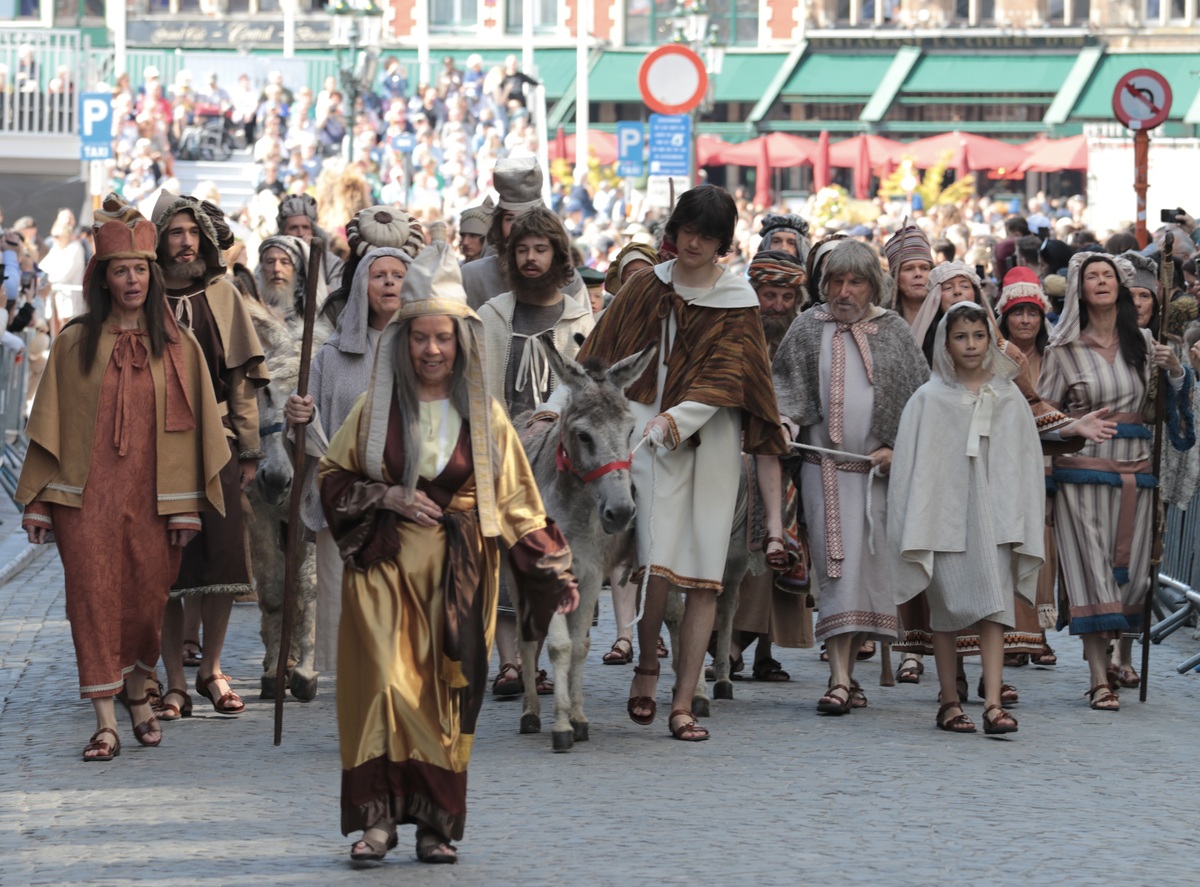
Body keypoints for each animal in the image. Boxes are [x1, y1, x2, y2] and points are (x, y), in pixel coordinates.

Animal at [509, 343, 656, 752]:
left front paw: (577, 718)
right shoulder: (548, 574)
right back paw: (530, 713)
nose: (620, 513)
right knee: (527, 640)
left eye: (630, 430)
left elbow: (577, 646)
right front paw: (560, 726)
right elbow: (558, 645)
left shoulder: (590, 576)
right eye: (584, 436)